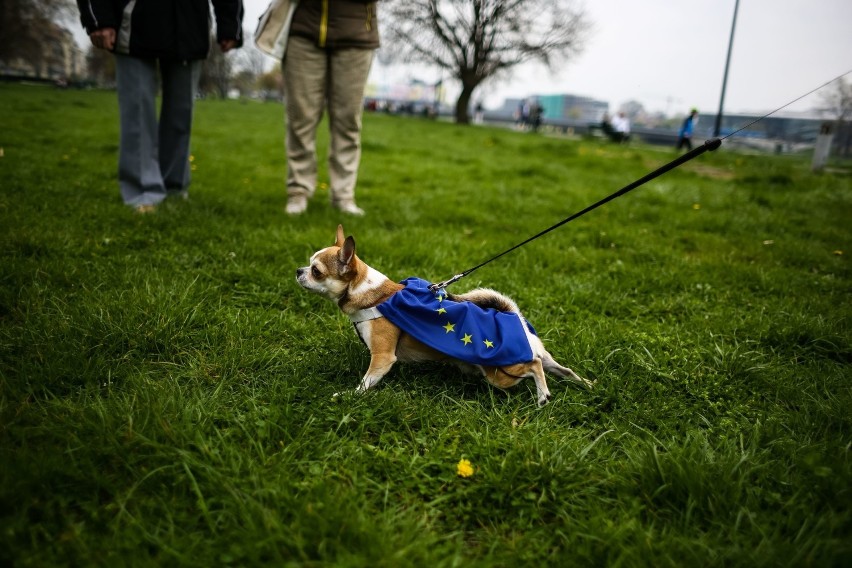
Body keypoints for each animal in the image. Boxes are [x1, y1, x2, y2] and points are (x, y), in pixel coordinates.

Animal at [296, 224, 596, 406]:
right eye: (308, 264)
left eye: (317, 271)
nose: (299, 270)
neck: (375, 295)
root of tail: (515, 319)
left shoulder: (382, 358)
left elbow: (367, 381)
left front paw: (350, 395)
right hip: (533, 361)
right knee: (561, 369)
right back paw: (588, 384)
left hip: (501, 373)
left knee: (534, 367)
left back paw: (543, 395)